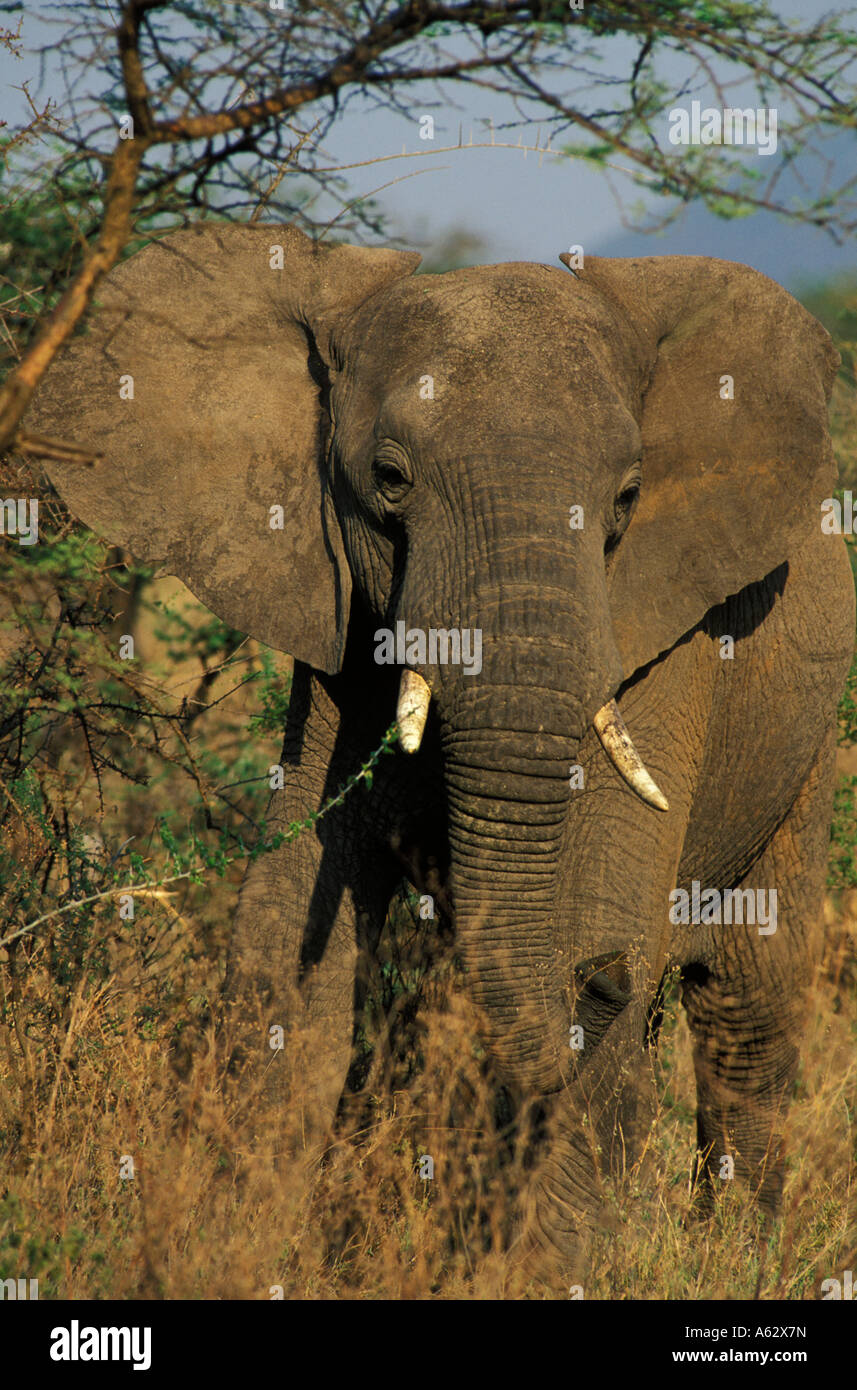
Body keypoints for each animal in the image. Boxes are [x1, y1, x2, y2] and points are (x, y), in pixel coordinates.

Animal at [31, 223, 854, 1278]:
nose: (600, 981)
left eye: (627, 498)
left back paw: (733, 1264)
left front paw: (545, 1277)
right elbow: (290, 933)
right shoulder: (335, 630)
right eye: (388, 480)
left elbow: (594, 905)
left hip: (803, 746)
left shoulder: (664, 646)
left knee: (746, 1009)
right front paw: (240, 1253)